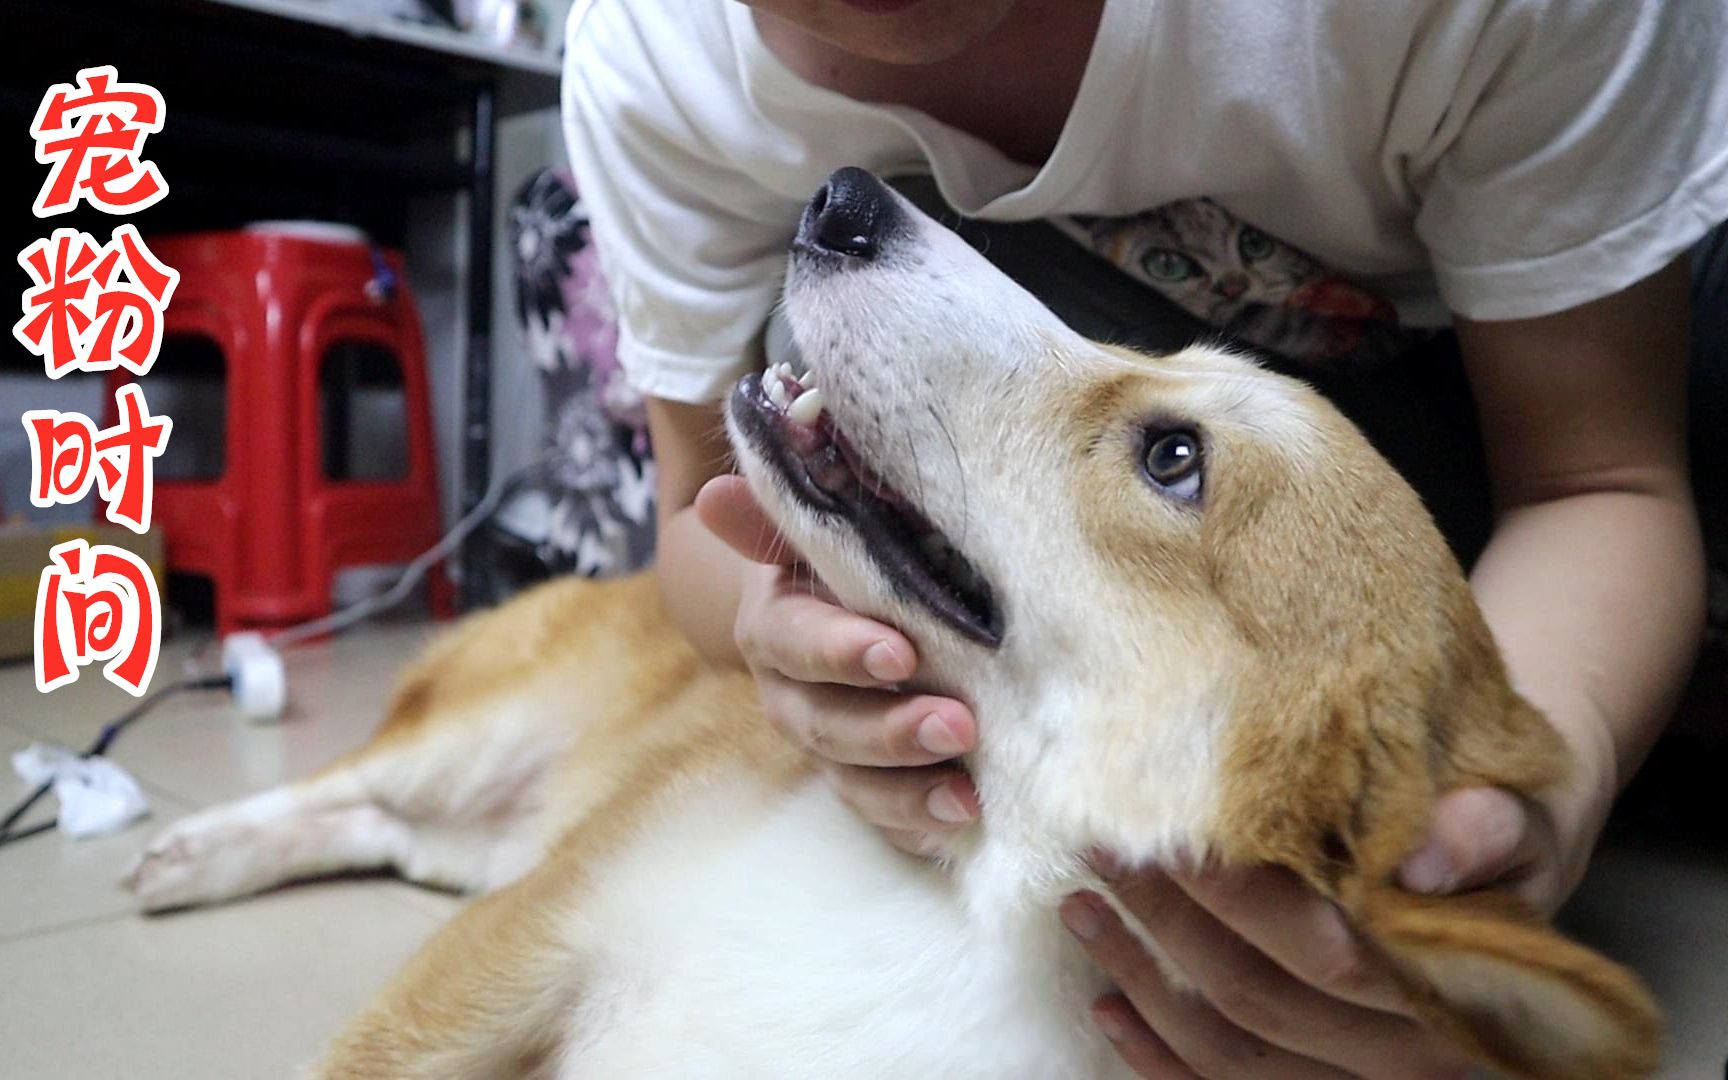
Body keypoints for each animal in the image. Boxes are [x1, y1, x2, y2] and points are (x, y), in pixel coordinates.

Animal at [125, 170, 1658, 1078]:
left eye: (1174, 458)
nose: (846, 195)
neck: (981, 907)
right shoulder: (521, 944)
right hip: (485, 752)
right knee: (343, 784)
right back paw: (184, 850)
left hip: (476, 837)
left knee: (378, 826)